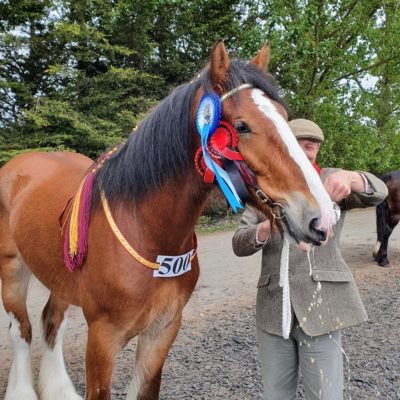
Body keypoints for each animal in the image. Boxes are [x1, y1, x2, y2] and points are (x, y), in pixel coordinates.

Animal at [0, 41, 336, 400]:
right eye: (242, 127)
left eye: (285, 119)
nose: (322, 217)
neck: (148, 231)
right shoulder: (102, 339)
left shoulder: (162, 331)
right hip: (13, 270)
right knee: (21, 330)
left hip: (60, 276)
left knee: (51, 323)